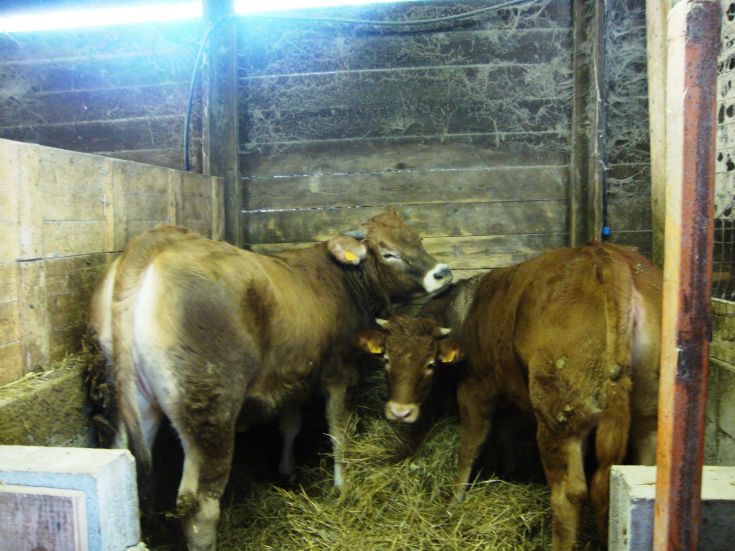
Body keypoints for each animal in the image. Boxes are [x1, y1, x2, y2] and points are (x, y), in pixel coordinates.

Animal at [89, 209, 452, 551]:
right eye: (388, 252)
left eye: (417, 237)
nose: (442, 273)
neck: (343, 280)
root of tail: (157, 242)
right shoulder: (340, 373)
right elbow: (339, 433)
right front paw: (342, 486)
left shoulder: (291, 378)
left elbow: (289, 425)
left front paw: (287, 471)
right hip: (210, 410)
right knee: (200, 507)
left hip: (134, 404)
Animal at [356, 242, 661, 551]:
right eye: (385, 359)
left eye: (430, 364)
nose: (400, 411)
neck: (467, 313)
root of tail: (605, 257)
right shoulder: (510, 391)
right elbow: (505, 431)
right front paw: (509, 470)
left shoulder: (475, 390)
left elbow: (471, 444)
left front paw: (454, 498)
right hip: (647, 418)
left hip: (557, 418)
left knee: (568, 493)